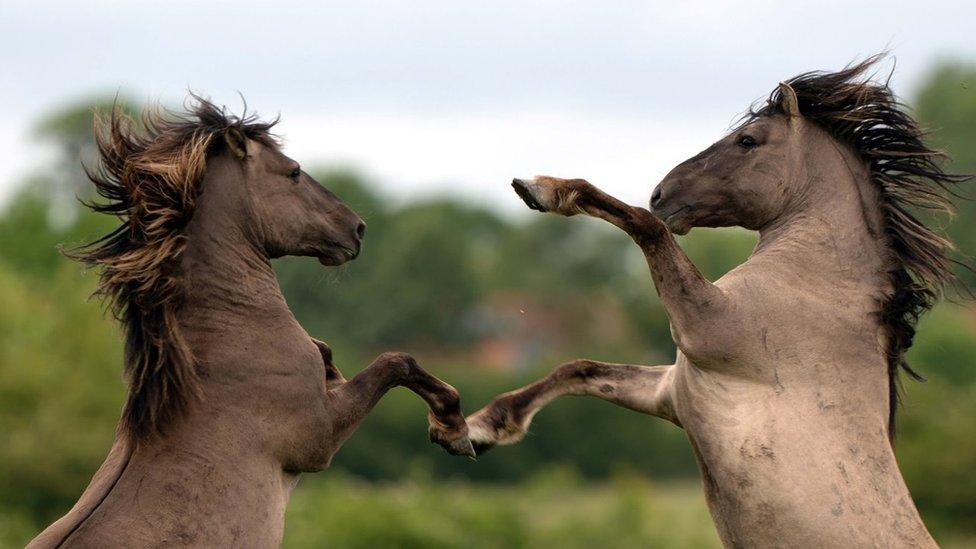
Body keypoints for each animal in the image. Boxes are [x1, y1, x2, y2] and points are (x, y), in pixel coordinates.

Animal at [30, 99, 472, 548]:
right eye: (293, 171)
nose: (357, 228)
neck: (225, 337)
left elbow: (334, 354)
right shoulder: (321, 437)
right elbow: (395, 363)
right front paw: (453, 429)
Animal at [462, 57, 964, 544]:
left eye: (748, 140)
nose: (661, 194)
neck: (818, 283)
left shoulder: (702, 330)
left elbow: (645, 225)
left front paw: (543, 189)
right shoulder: (670, 391)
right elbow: (579, 368)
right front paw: (477, 428)